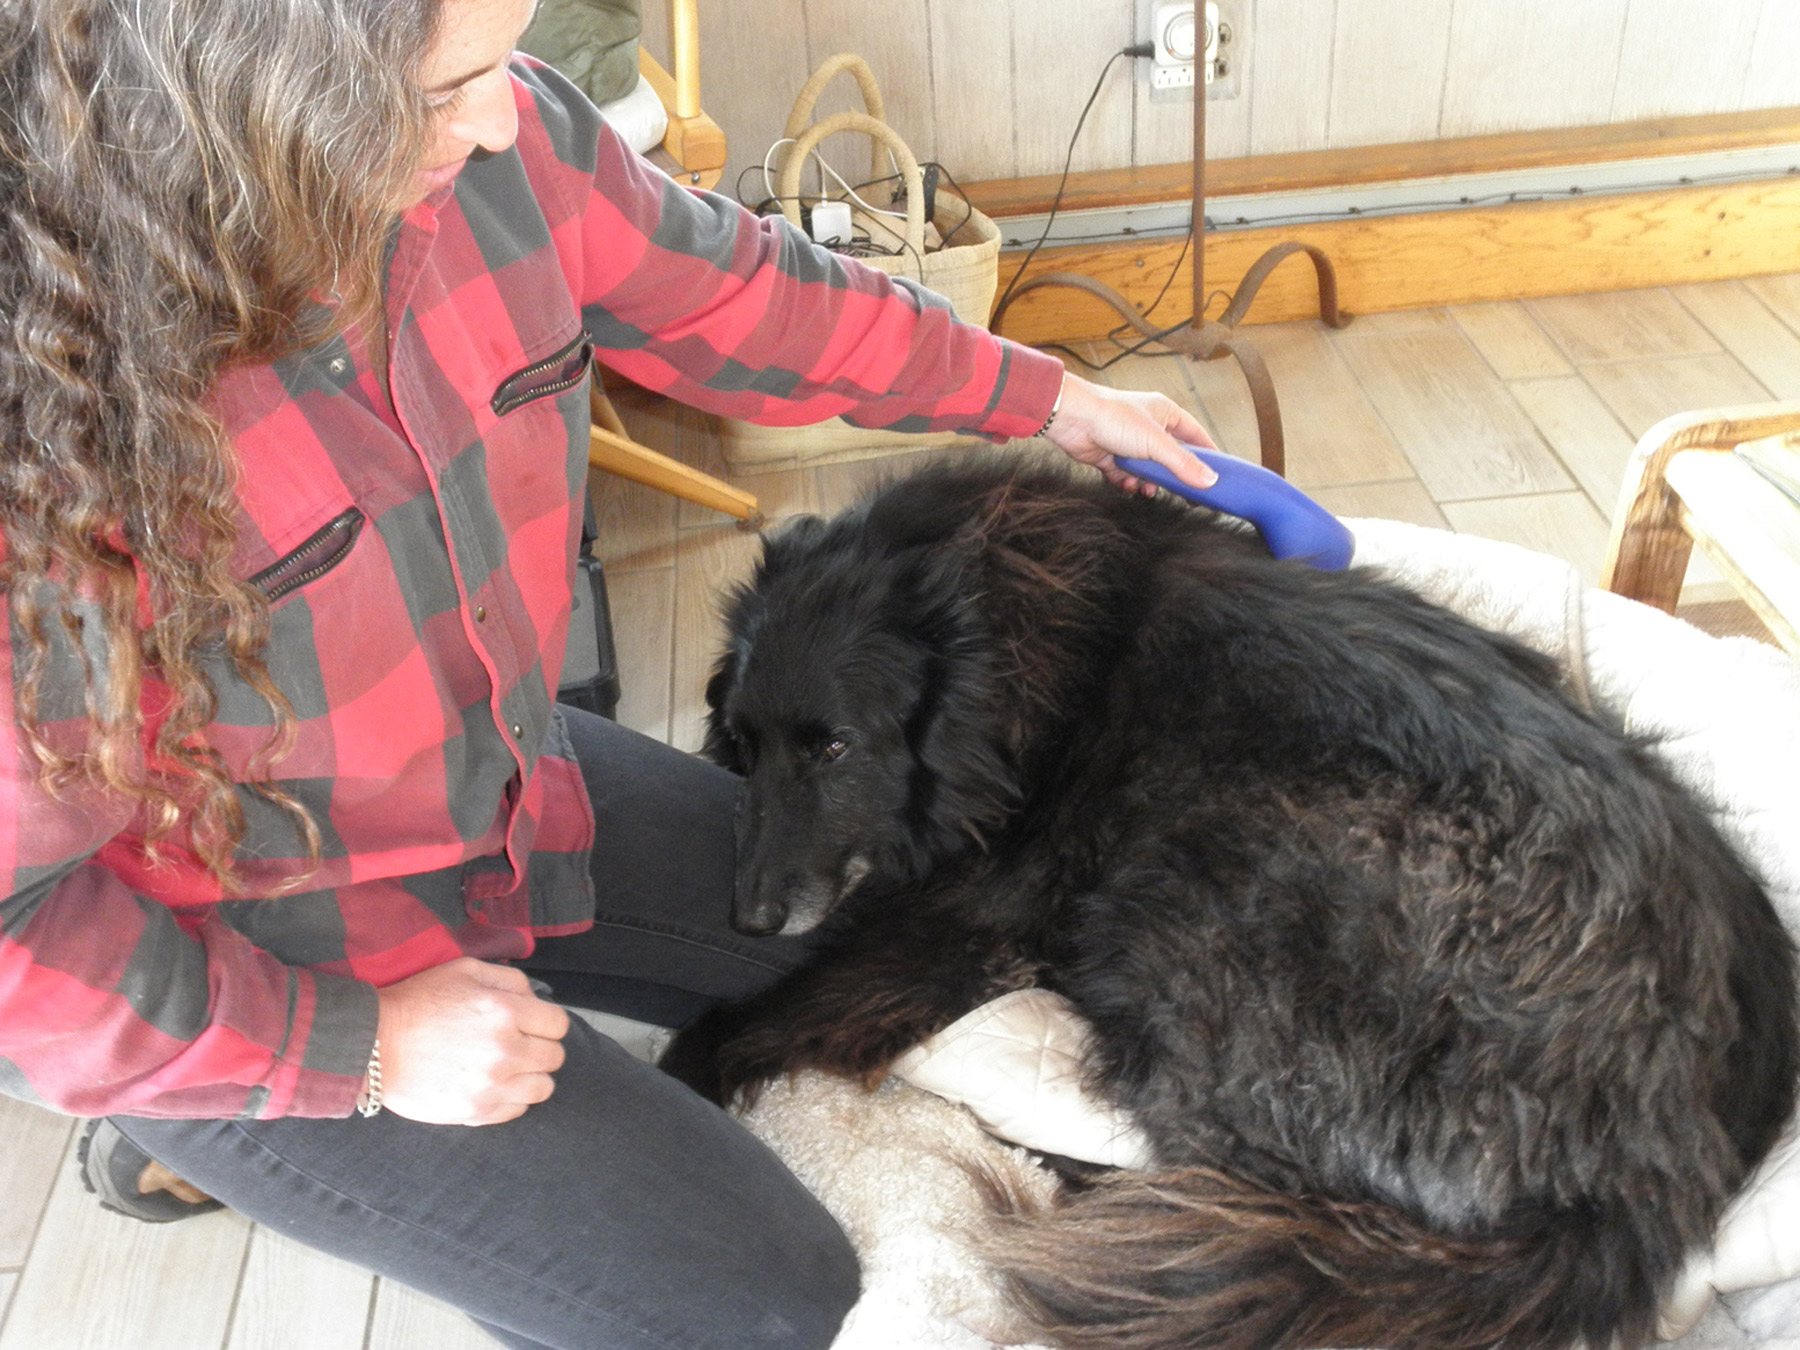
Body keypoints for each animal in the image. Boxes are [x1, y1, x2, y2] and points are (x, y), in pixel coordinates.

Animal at [666, 457, 1800, 1350]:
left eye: (835, 747)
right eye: (745, 742)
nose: (748, 918)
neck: (1011, 632)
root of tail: (1636, 1182)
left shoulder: (968, 917)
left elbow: (755, 1017)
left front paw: (695, 1074)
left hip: (1187, 908)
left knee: (1211, 1171)